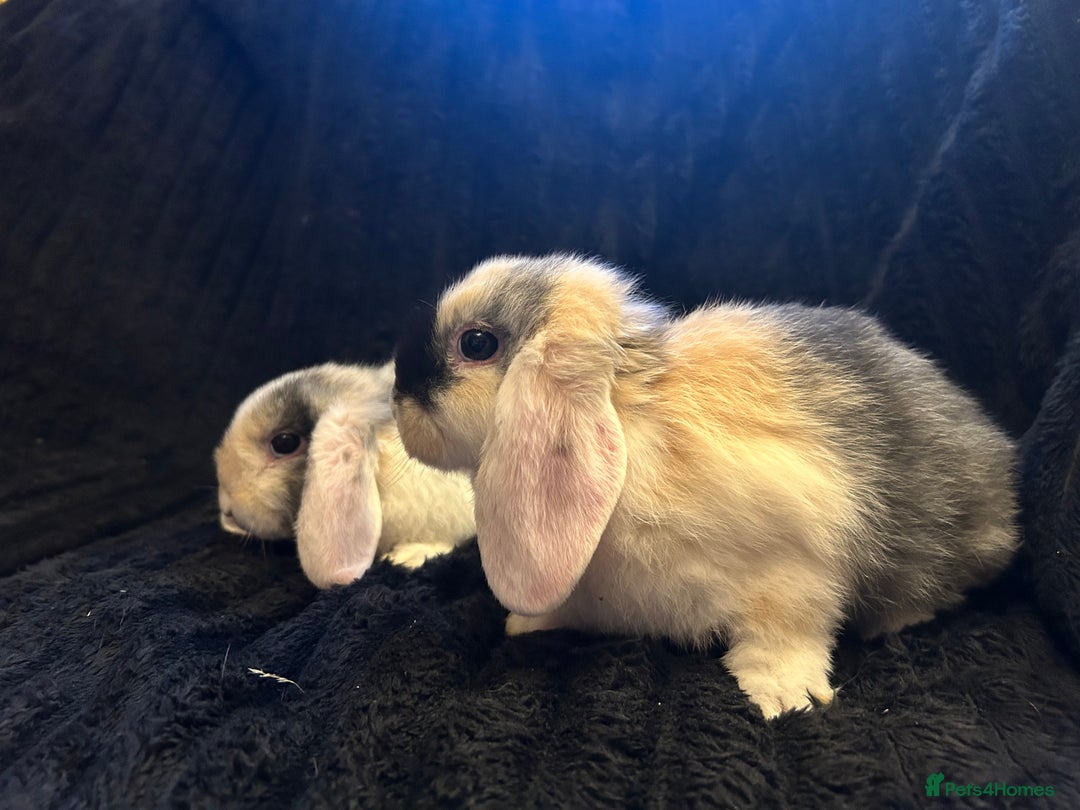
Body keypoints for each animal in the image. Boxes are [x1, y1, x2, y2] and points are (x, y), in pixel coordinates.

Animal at [391, 253, 1020, 719]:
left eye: (476, 344)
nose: (397, 400)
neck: (626, 409)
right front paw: (525, 623)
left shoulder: (793, 575)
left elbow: (787, 632)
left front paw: (783, 695)